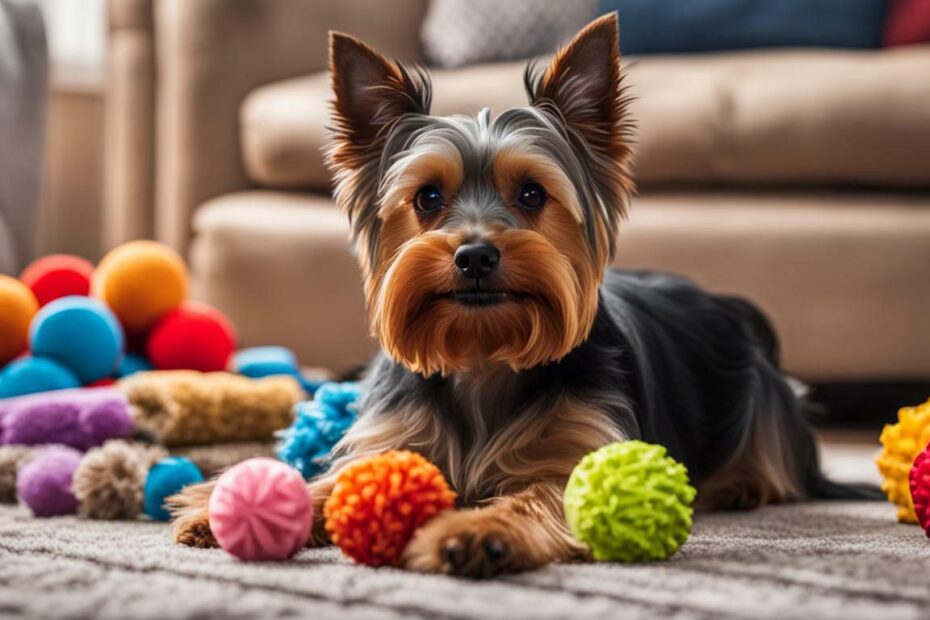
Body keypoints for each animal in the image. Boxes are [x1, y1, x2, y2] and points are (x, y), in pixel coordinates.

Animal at [169, 13, 872, 576]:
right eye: (428, 197)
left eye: (532, 194)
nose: (475, 254)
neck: (484, 357)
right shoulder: (393, 438)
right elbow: (337, 478)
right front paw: (224, 504)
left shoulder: (582, 451)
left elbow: (543, 493)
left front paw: (479, 532)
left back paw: (740, 486)